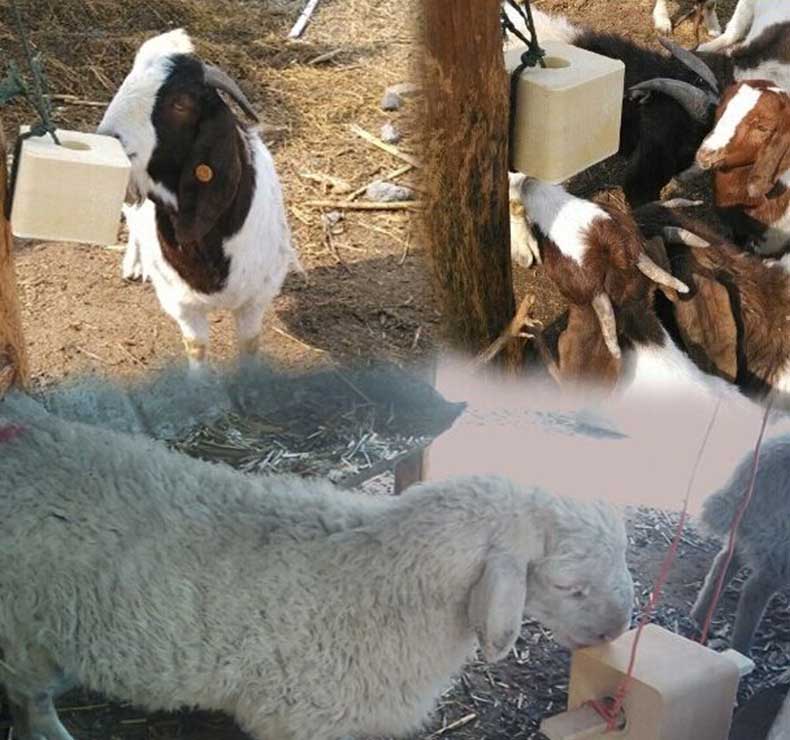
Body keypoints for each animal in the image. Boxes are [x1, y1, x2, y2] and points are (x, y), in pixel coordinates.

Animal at [0, 414, 636, 740]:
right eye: (567, 585)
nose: (616, 631)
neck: (389, 582)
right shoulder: (301, 720)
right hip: (20, 632)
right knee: (30, 700)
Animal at [96, 28, 300, 370]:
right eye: (127, 81)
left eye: (181, 103)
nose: (107, 141)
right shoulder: (181, 303)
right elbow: (197, 347)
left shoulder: (254, 300)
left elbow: (249, 346)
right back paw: (134, 263)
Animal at [696, 436, 790, 656]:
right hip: (780, 538)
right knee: (754, 590)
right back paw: (741, 648)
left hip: (749, 526)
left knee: (725, 560)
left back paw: (700, 617)